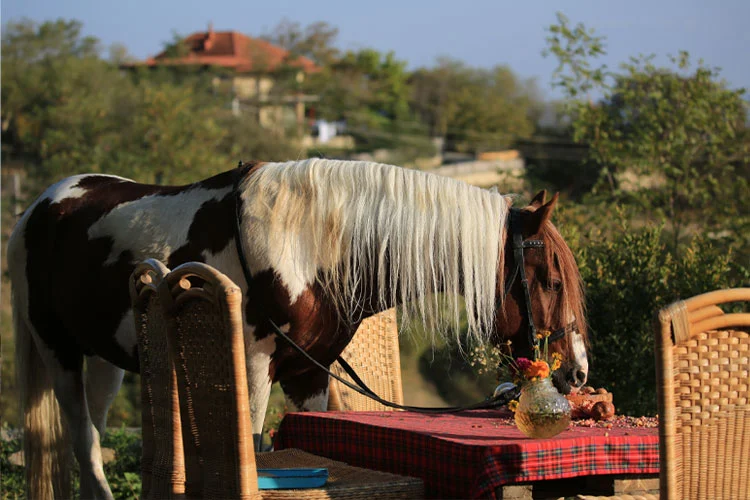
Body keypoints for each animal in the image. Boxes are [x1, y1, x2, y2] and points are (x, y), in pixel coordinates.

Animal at [8, 158, 588, 499]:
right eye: (552, 280)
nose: (577, 374)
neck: (309, 246)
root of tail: (39, 206)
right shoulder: (251, 369)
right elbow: (251, 450)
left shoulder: (310, 376)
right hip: (57, 351)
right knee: (83, 438)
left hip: (107, 359)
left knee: (93, 434)